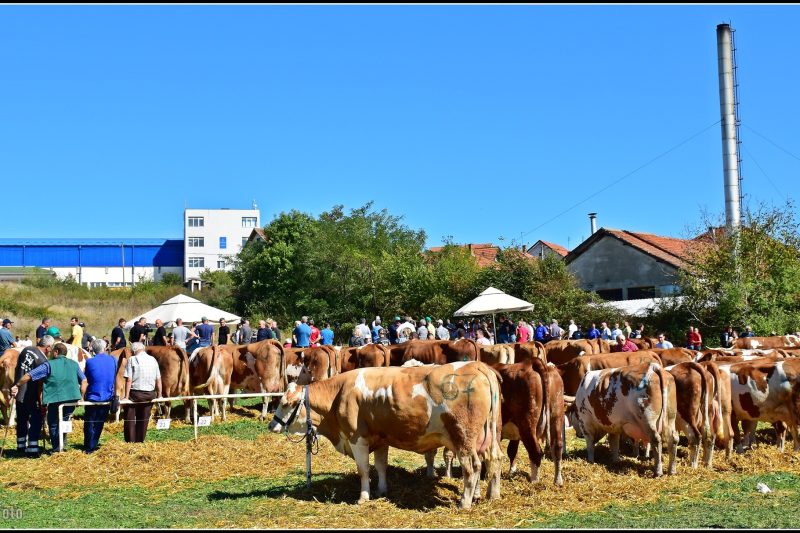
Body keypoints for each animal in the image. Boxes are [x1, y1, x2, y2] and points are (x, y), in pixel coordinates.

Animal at [268, 362, 500, 508]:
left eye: (284, 403)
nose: (272, 425)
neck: (339, 394)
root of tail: (477, 365)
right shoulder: (380, 439)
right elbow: (380, 466)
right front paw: (381, 490)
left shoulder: (357, 438)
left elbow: (363, 470)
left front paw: (363, 497)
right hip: (488, 436)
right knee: (493, 460)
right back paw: (491, 494)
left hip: (463, 438)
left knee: (473, 466)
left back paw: (465, 502)